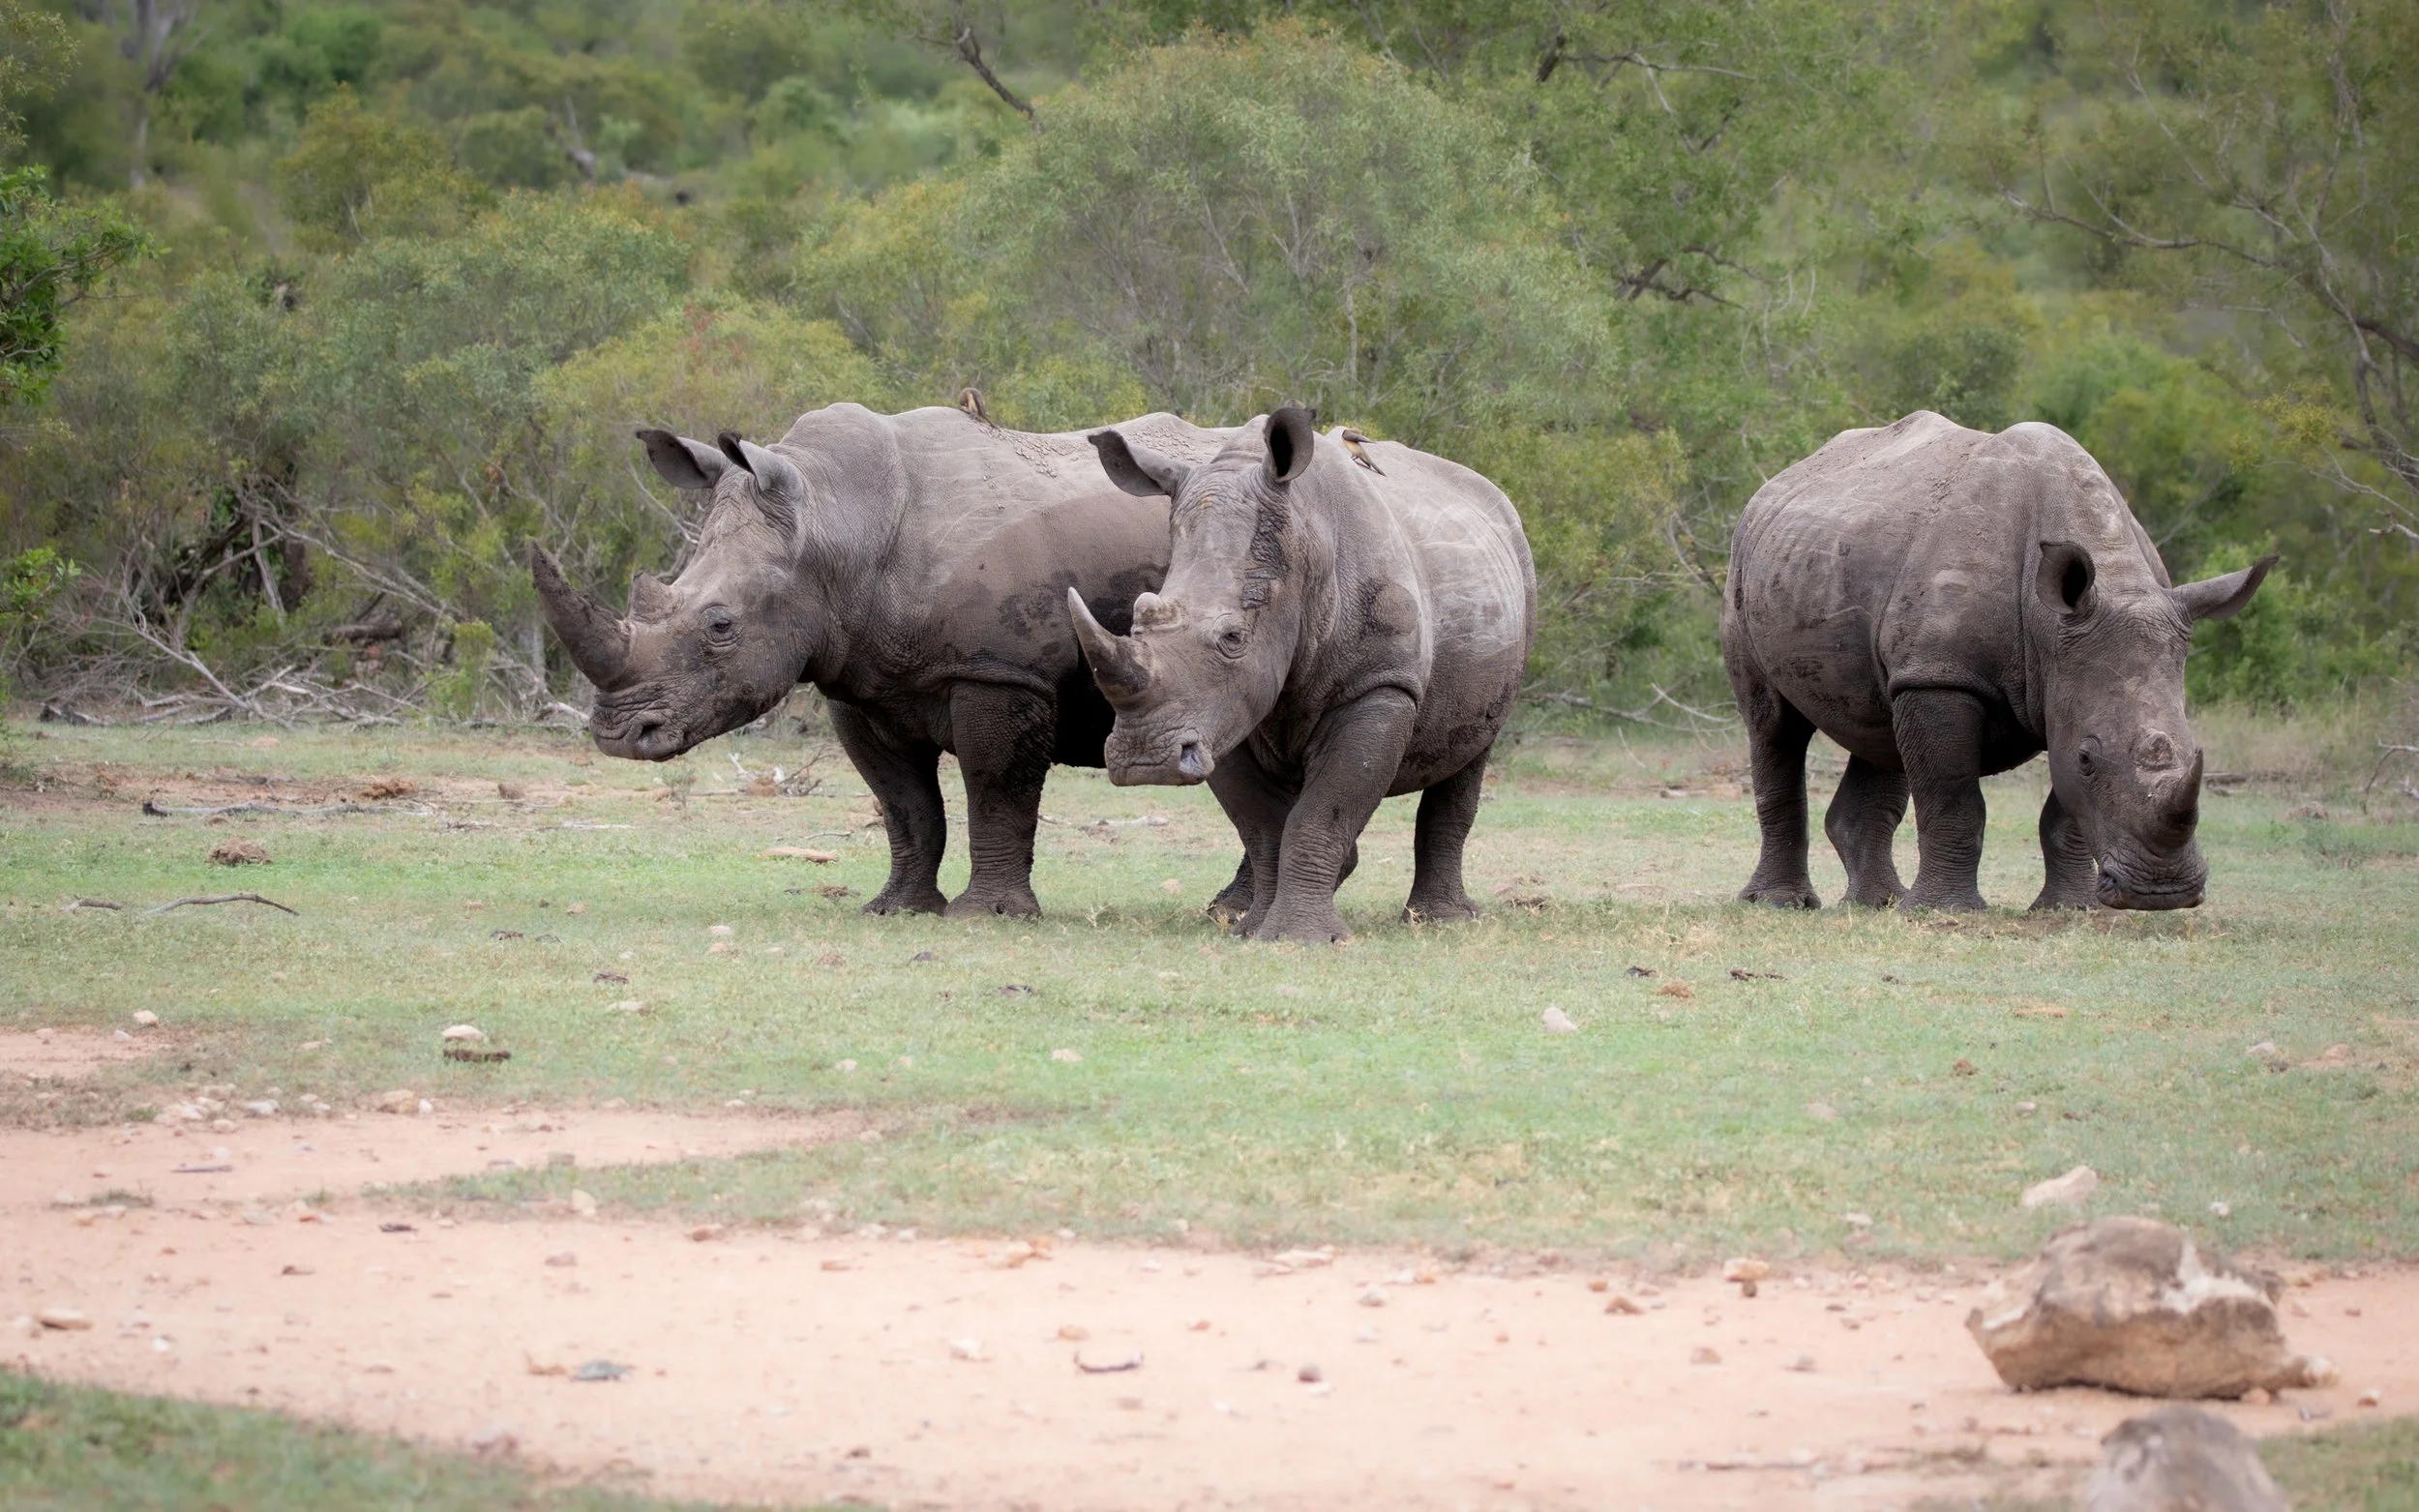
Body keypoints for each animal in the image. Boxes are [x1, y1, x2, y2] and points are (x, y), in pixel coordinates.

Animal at [529, 403, 1252, 918]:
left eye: (720, 626)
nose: (619, 734)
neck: (835, 520)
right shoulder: (859, 681)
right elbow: (904, 804)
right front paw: (895, 908)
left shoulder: (999, 670)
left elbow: (996, 789)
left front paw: (987, 915)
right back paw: (1228, 909)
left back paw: (1229, 911)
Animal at [1067, 406, 1536, 943]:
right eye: (1138, 620)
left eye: (1233, 638)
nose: (1145, 762)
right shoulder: (1220, 710)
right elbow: (1264, 825)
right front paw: (1252, 931)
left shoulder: (1379, 684)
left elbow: (1322, 812)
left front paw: (1299, 939)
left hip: (1519, 577)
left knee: (1471, 753)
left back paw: (1443, 920)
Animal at [1721, 410, 2273, 912]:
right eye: (2089, 759)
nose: (2162, 893)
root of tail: (1779, 483)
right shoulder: (1944, 675)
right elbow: (1955, 799)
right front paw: (1943, 912)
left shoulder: (2062, 682)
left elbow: (2064, 812)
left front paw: (2070, 910)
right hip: (1746, 565)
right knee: (1774, 726)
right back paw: (1782, 904)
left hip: (1843, 573)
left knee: (1878, 724)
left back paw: (1878, 904)